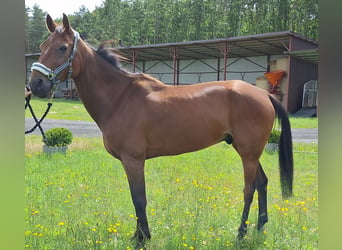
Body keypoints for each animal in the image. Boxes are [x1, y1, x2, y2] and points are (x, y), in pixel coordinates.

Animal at [28, 13, 292, 244]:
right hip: (246, 150)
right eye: (42, 45)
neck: (120, 97)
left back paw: (240, 234)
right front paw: (138, 235)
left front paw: (142, 238)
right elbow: (136, 199)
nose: (36, 84)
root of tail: (263, 94)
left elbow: (139, 199)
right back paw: (260, 227)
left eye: (62, 48)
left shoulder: (133, 159)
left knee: (249, 189)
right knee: (262, 182)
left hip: (248, 153)